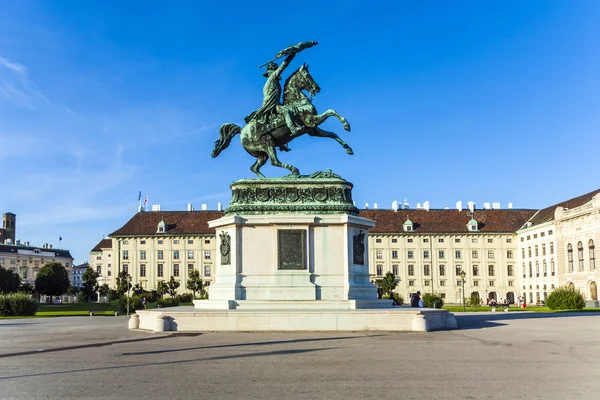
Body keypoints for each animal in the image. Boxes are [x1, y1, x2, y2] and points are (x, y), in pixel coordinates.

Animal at [211, 63, 352, 177]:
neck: (297, 102)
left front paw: (348, 148)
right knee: (274, 162)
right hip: (267, 144)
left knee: (254, 168)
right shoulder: (311, 120)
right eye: (307, 76)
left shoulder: (312, 130)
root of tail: (241, 131)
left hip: (262, 154)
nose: (317, 88)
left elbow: (332, 134)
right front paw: (346, 125)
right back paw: (294, 170)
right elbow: (331, 111)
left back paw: (265, 180)